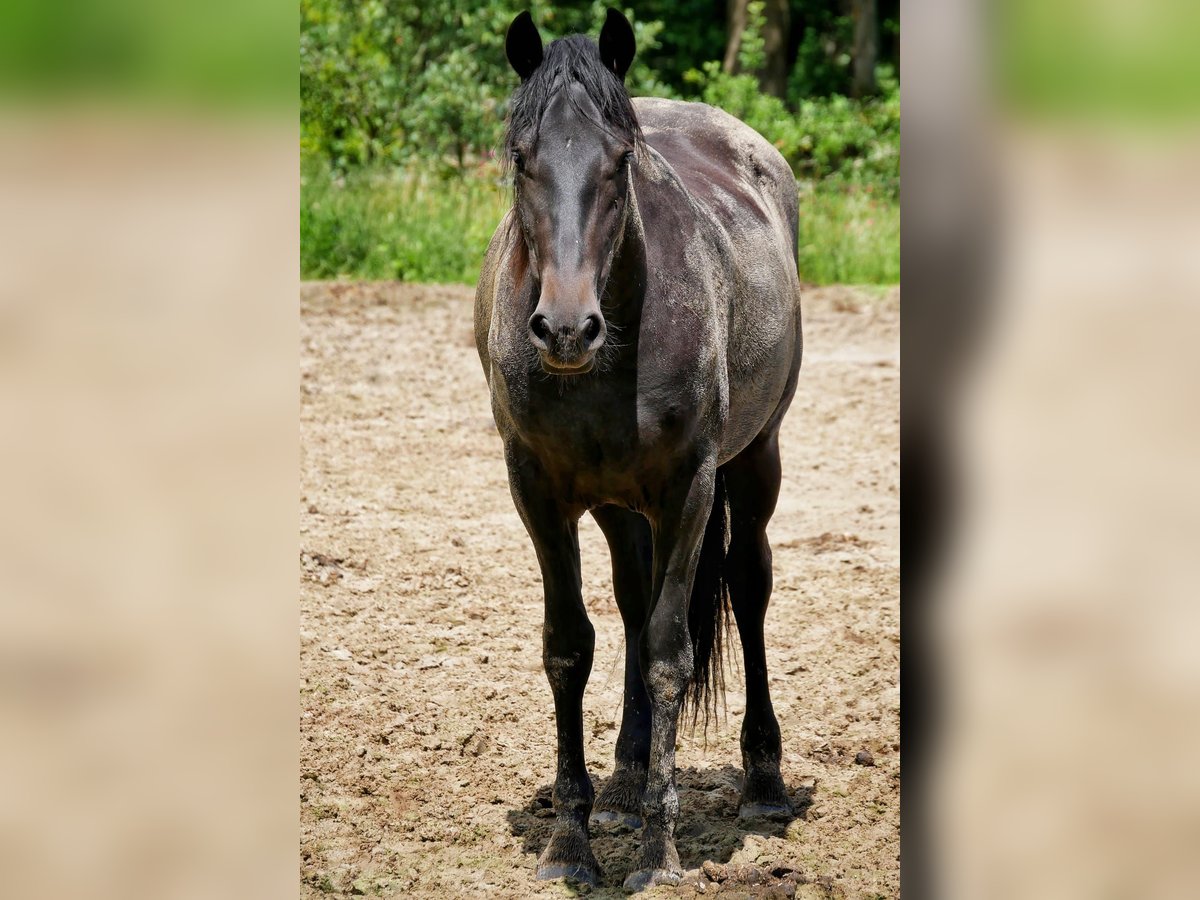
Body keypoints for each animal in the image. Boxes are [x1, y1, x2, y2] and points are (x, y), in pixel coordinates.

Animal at [472, 8, 801, 897]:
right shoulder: (537, 492)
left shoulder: (688, 489)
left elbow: (666, 653)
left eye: (621, 160)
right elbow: (569, 648)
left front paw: (659, 852)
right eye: (521, 156)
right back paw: (622, 784)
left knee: (749, 585)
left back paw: (762, 780)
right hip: (620, 507)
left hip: (754, 461)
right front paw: (571, 839)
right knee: (629, 597)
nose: (566, 329)